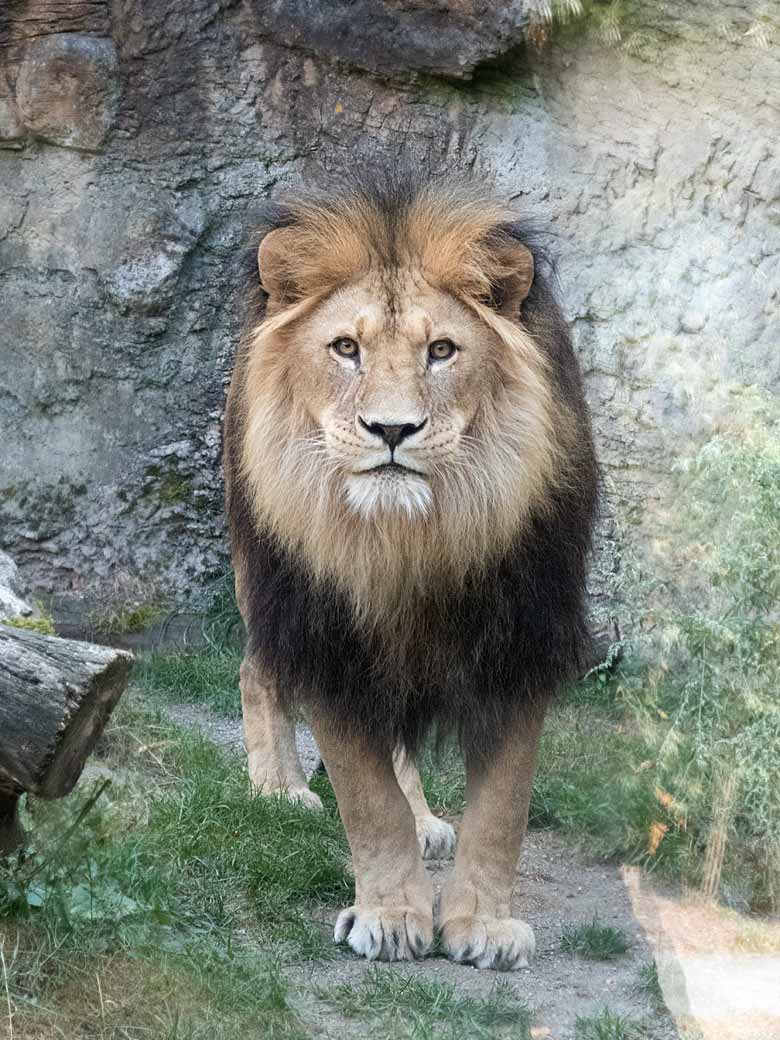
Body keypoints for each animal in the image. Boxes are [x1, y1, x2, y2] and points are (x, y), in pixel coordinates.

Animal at [222, 174, 603, 969]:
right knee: (255, 670)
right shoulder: (325, 642)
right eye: (345, 348)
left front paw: (483, 925)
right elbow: (367, 801)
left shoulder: (521, 642)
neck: (409, 543)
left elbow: (503, 808)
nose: (392, 429)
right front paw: (391, 916)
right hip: (261, 572)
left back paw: (425, 820)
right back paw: (278, 788)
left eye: (441, 350)